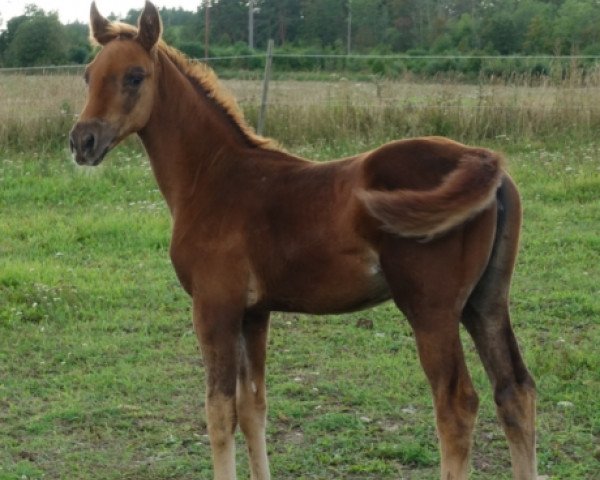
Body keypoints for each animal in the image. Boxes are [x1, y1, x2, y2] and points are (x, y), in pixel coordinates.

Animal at [71, 1, 540, 478]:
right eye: (89, 75)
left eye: (134, 76)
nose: (82, 141)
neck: (213, 177)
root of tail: (482, 159)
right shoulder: (254, 312)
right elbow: (253, 408)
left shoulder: (214, 307)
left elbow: (219, 413)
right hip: (486, 302)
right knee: (515, 391)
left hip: (432, 310)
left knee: (456, 406)